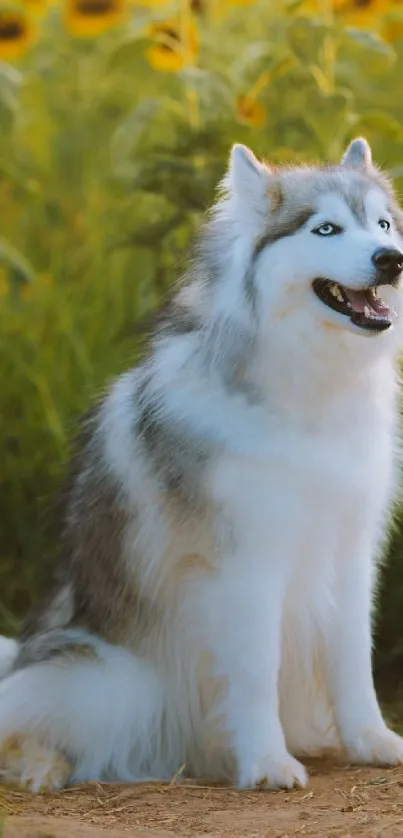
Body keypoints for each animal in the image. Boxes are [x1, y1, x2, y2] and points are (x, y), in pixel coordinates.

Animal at [0, 139, 403, 796]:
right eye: (326, 228)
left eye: (383, 224)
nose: (391, 260)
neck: (309, 388)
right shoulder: (247, 564)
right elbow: (256, 669)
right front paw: (266, 762)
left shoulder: (350, 553)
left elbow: (352, 660)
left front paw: (370, 740)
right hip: (110, 684)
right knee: (26, 716)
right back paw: (41, 766)